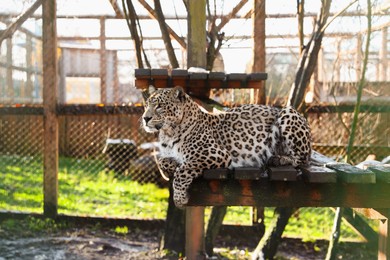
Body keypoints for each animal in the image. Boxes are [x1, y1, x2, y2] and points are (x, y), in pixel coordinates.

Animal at [142, 86, 312, 208]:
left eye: (159, 106)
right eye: (146, 105)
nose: (145, 118)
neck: (168, 134)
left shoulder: (215, 154)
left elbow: (183, 171)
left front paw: (180, 198)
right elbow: (162, 161)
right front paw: (170, 166)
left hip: (288, 113)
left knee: (303, 158)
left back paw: (279, 159)